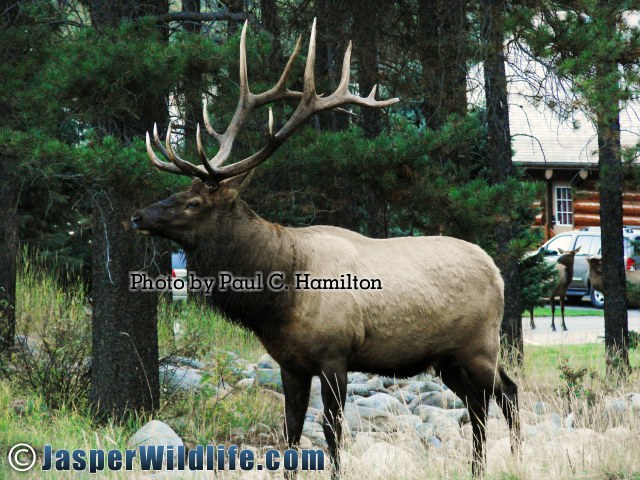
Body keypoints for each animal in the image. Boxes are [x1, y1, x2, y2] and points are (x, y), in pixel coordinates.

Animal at [130, 20, 520, 478]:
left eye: (194, 202)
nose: (138, 215)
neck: (277, 297)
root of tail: (497, 271)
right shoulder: (290, 363)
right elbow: (291, 430)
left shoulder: (336, 355)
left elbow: (333, 431)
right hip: (446, 358)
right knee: (483, 401)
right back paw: (484, 464)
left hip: (480, 343)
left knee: (503, 394)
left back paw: (510, 458)